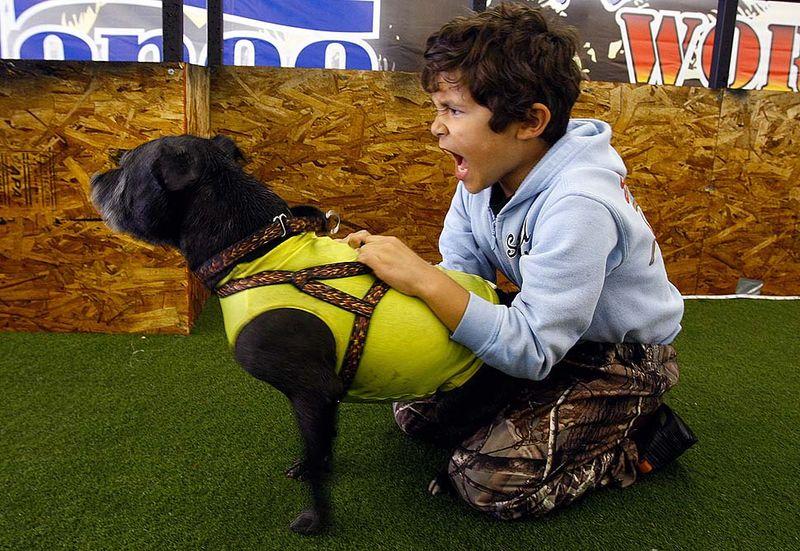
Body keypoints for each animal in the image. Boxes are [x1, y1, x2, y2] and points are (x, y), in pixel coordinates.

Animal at [92, 134, 520, 536]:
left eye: (124, 165)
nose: (97, 175)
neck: (254, 253)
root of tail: (506, 300)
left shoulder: (312, 391)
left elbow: (317, 464)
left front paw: (317, 518)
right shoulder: (320, 395)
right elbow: (321, 445)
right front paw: (313, 466)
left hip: (460, 403)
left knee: (462, 442)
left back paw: (444, 480)